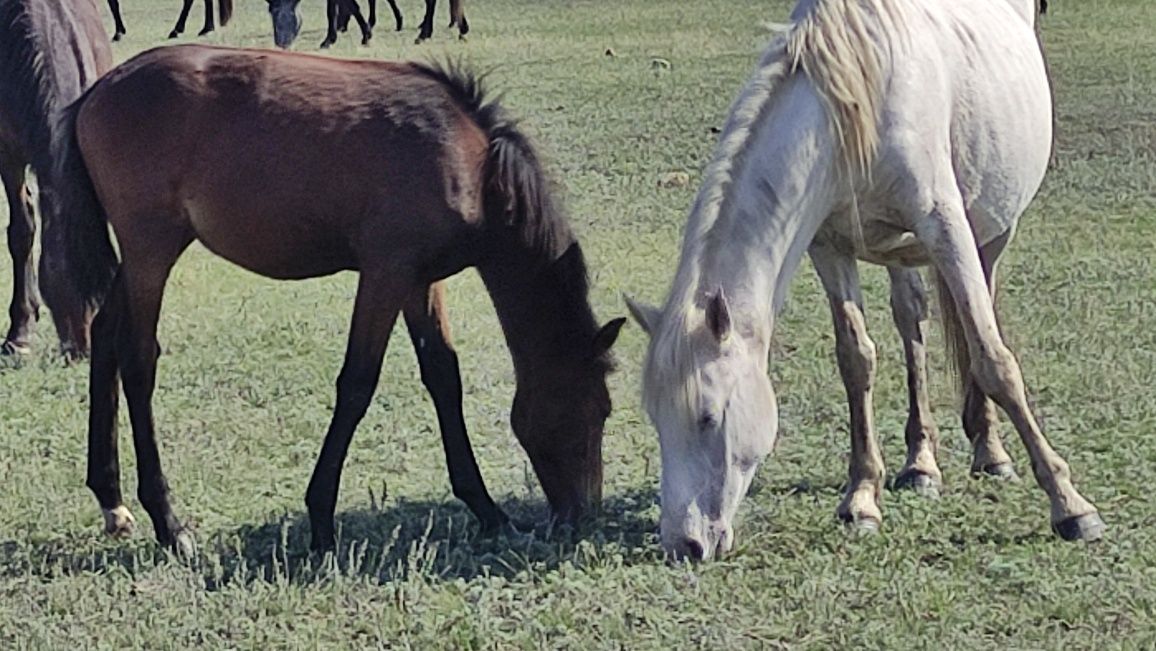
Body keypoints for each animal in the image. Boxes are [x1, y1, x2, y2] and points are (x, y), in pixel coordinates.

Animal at [54, 44, 624, 555]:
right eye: (596, 409)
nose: (582, 515)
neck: (470, 164)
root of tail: (94, 93)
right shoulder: (385, 274)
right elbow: (357, 385)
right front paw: (321, 520)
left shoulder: (421, 280)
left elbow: (443, 378)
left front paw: (489, 511)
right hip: (152, 248)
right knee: (138, 361)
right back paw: (169, 522)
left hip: (142, 256)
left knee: (104, 334)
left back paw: (111, 500)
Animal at [628, 0, 1105, 559]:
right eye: (657, 419)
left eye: (707, 416)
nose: (683, 543)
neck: (856, 102)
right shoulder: (829, 247)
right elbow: (856, 362)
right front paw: (861, 499)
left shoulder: (946, 227)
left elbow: (994, 360)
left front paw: (1071, 506)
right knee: (912, 321)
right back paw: (921, 465)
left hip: (993, 231)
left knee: (976, 316)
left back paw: (991, 453)